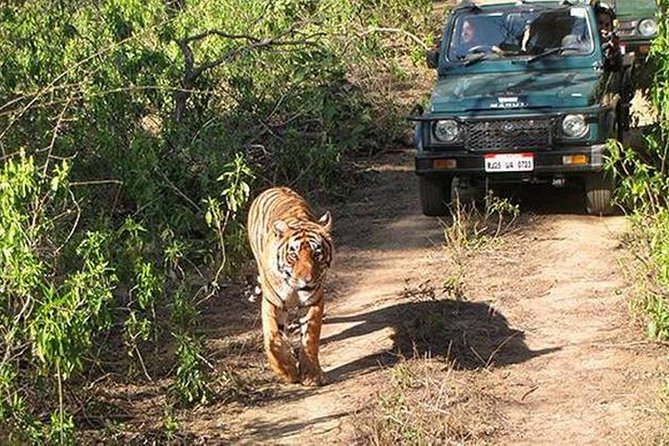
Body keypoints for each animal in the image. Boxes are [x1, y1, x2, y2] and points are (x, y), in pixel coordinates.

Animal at [247, 186, 333, 386]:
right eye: (293, 256)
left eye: (317, 254)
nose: (307, 280)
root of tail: (274, 187)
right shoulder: (273, 302)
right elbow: (273, 337)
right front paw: (287, 371)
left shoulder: (314, 301)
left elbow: (309, 338)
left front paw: (311, 375)